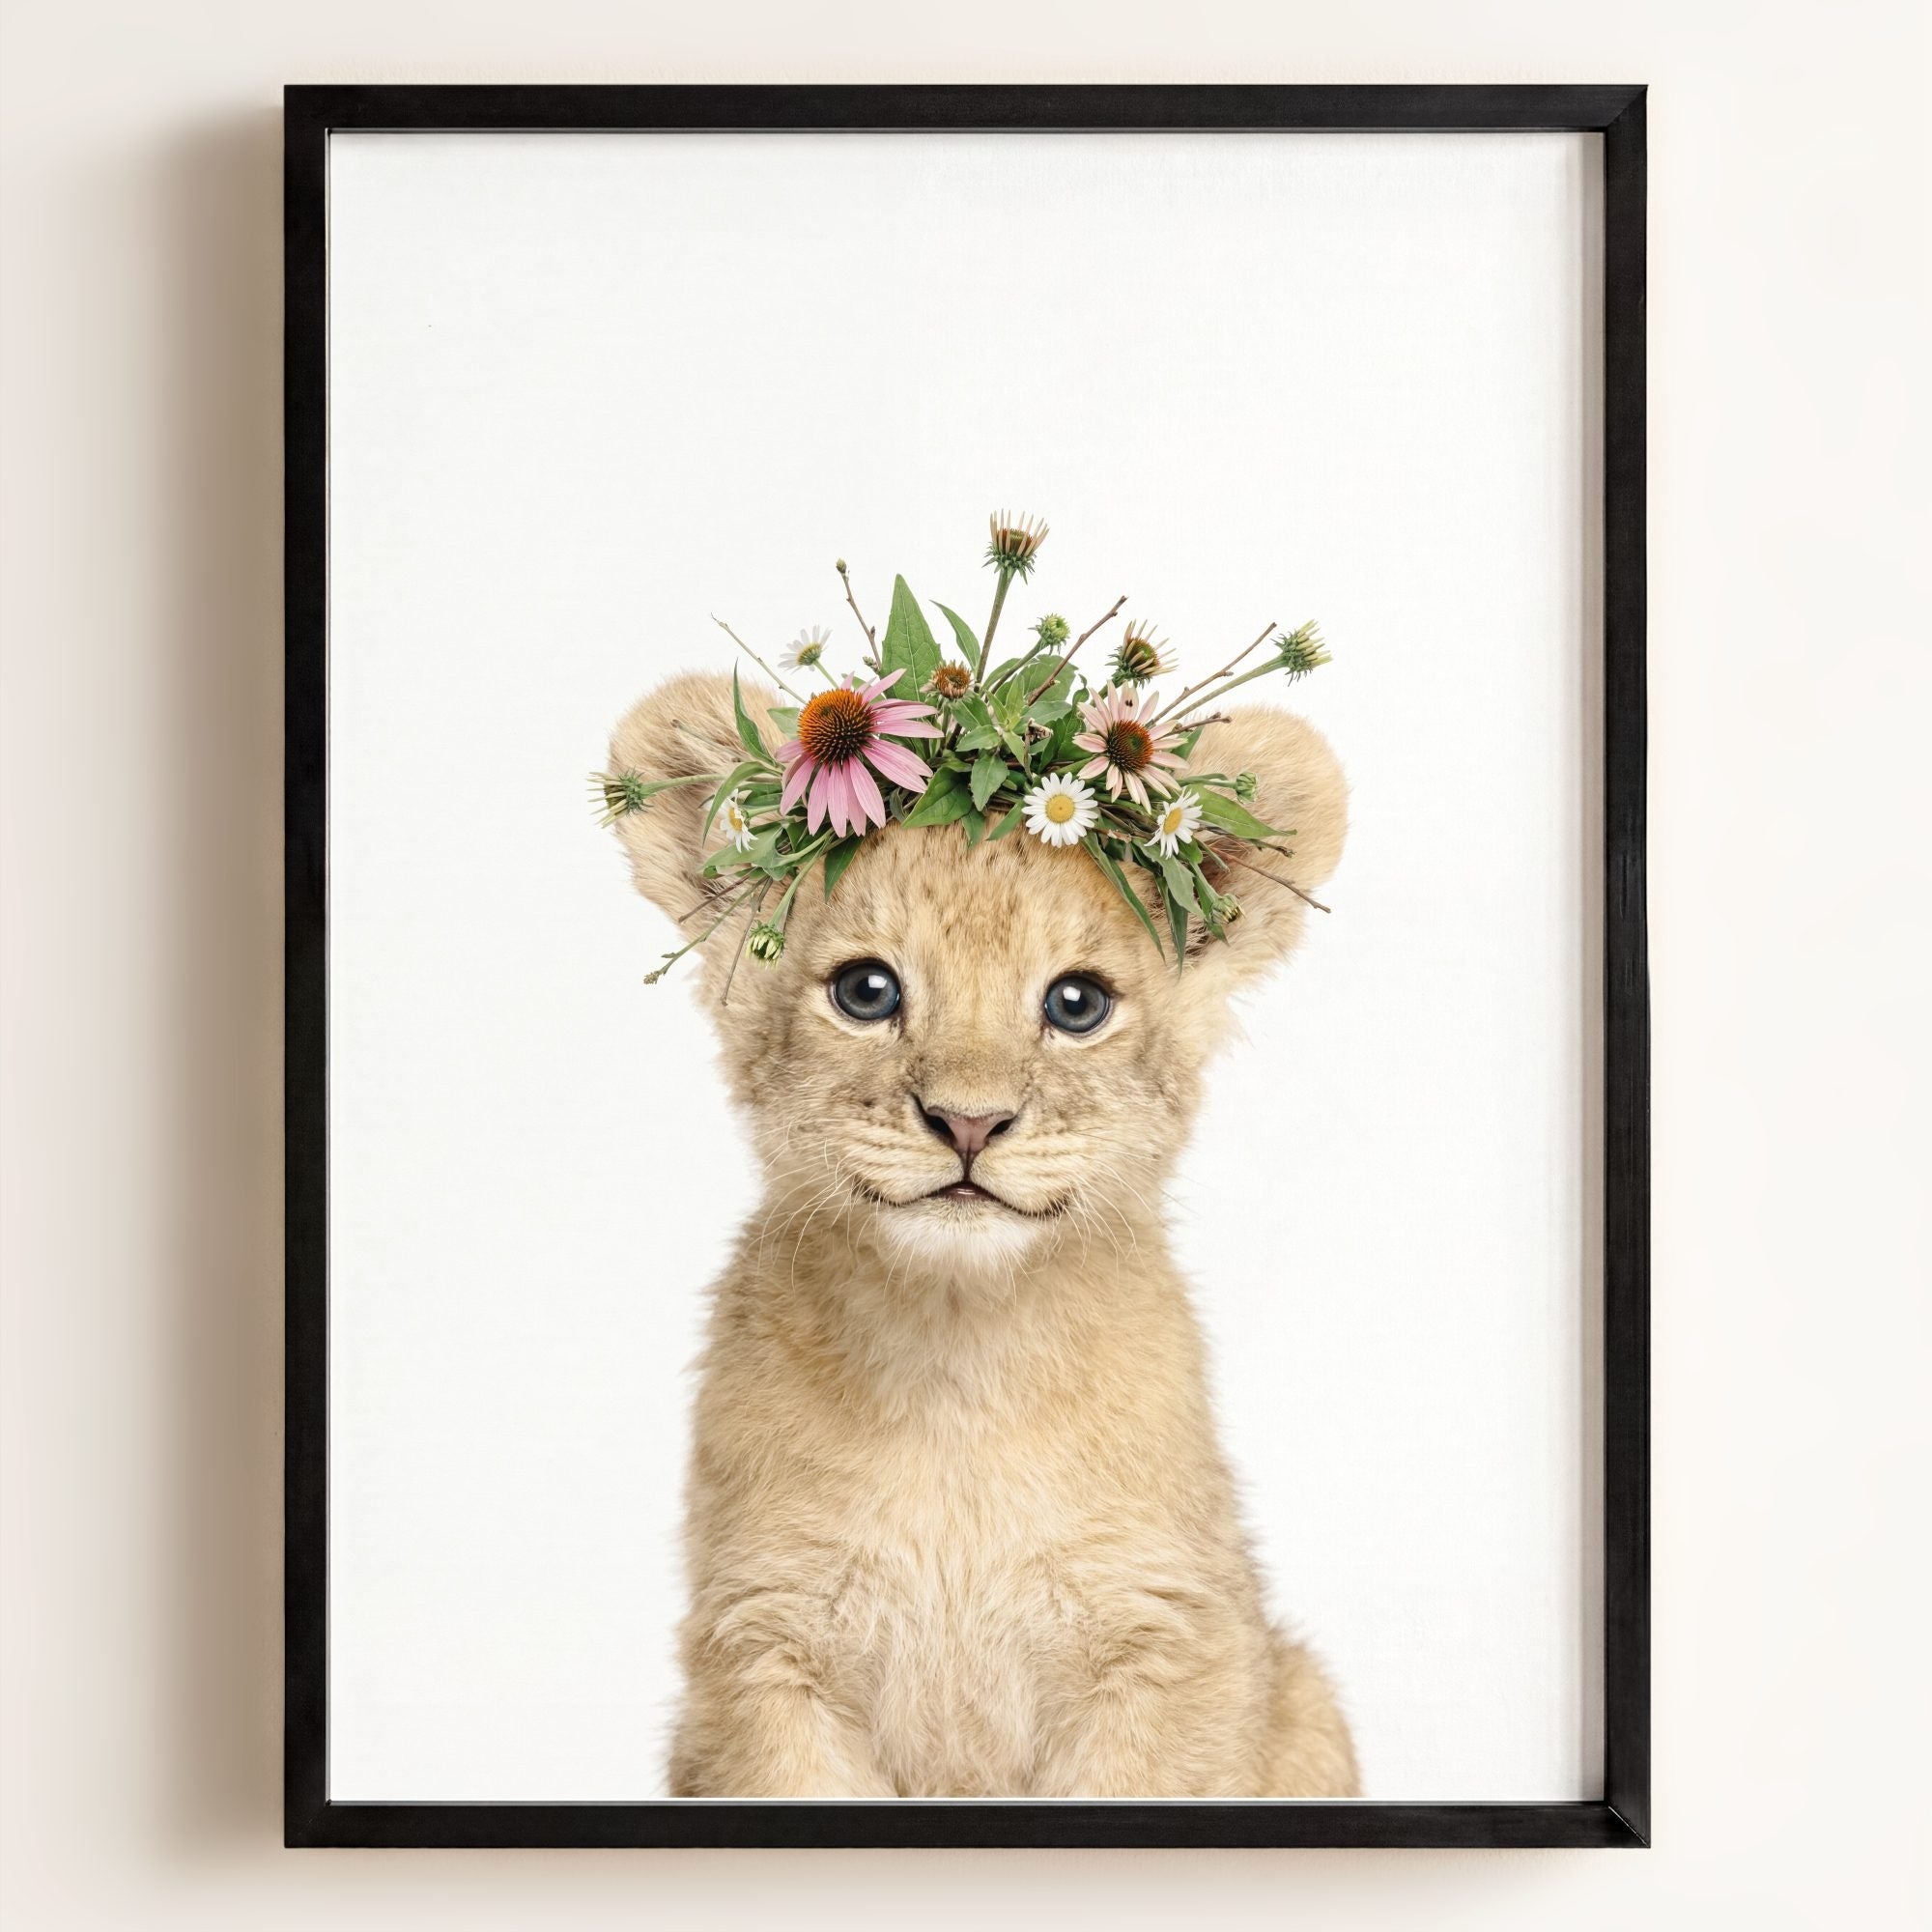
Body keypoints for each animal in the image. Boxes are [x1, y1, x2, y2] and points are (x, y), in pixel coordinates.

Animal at [606, 669, 1357, 1798]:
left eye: (1077, 1003)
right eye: (866, 990)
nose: (967, 1122)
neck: (957, 1366)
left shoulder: (1168, 1641)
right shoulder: (764, 1649)